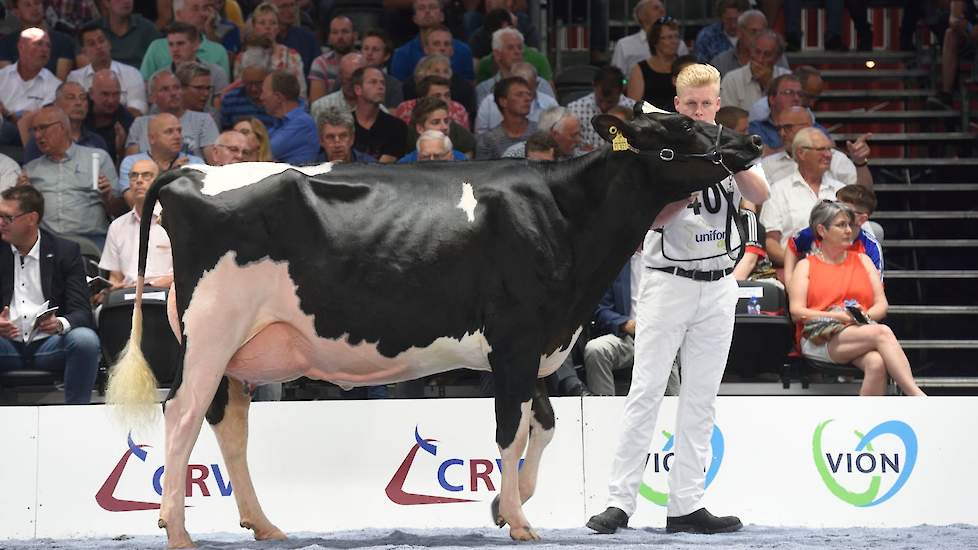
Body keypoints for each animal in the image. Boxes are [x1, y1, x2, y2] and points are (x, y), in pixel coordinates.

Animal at [108, 104, 764, 550]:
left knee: (230, 426)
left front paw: (505, 505)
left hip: (238, 349)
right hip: (211, 332)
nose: (753, 138)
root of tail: (189, 174)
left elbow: (544, 425)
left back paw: (264, 524)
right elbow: (510, 431)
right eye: (679, 129)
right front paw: (519, 521)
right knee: (182, 414)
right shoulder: (516, 338)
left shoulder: (536, 345)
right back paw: (176, 529)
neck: (564, 215)